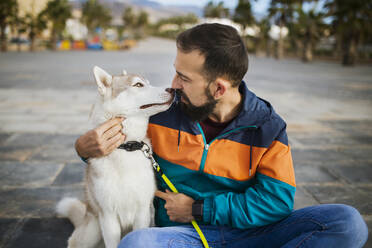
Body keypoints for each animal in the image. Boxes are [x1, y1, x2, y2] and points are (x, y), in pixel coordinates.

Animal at [56, 66, 174, 248]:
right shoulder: (108, 217)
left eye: (148, 83)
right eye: (138, 85)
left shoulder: (142, 212)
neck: (126, 148)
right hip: (92, 230)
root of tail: (85, 213)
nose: (173, 90)